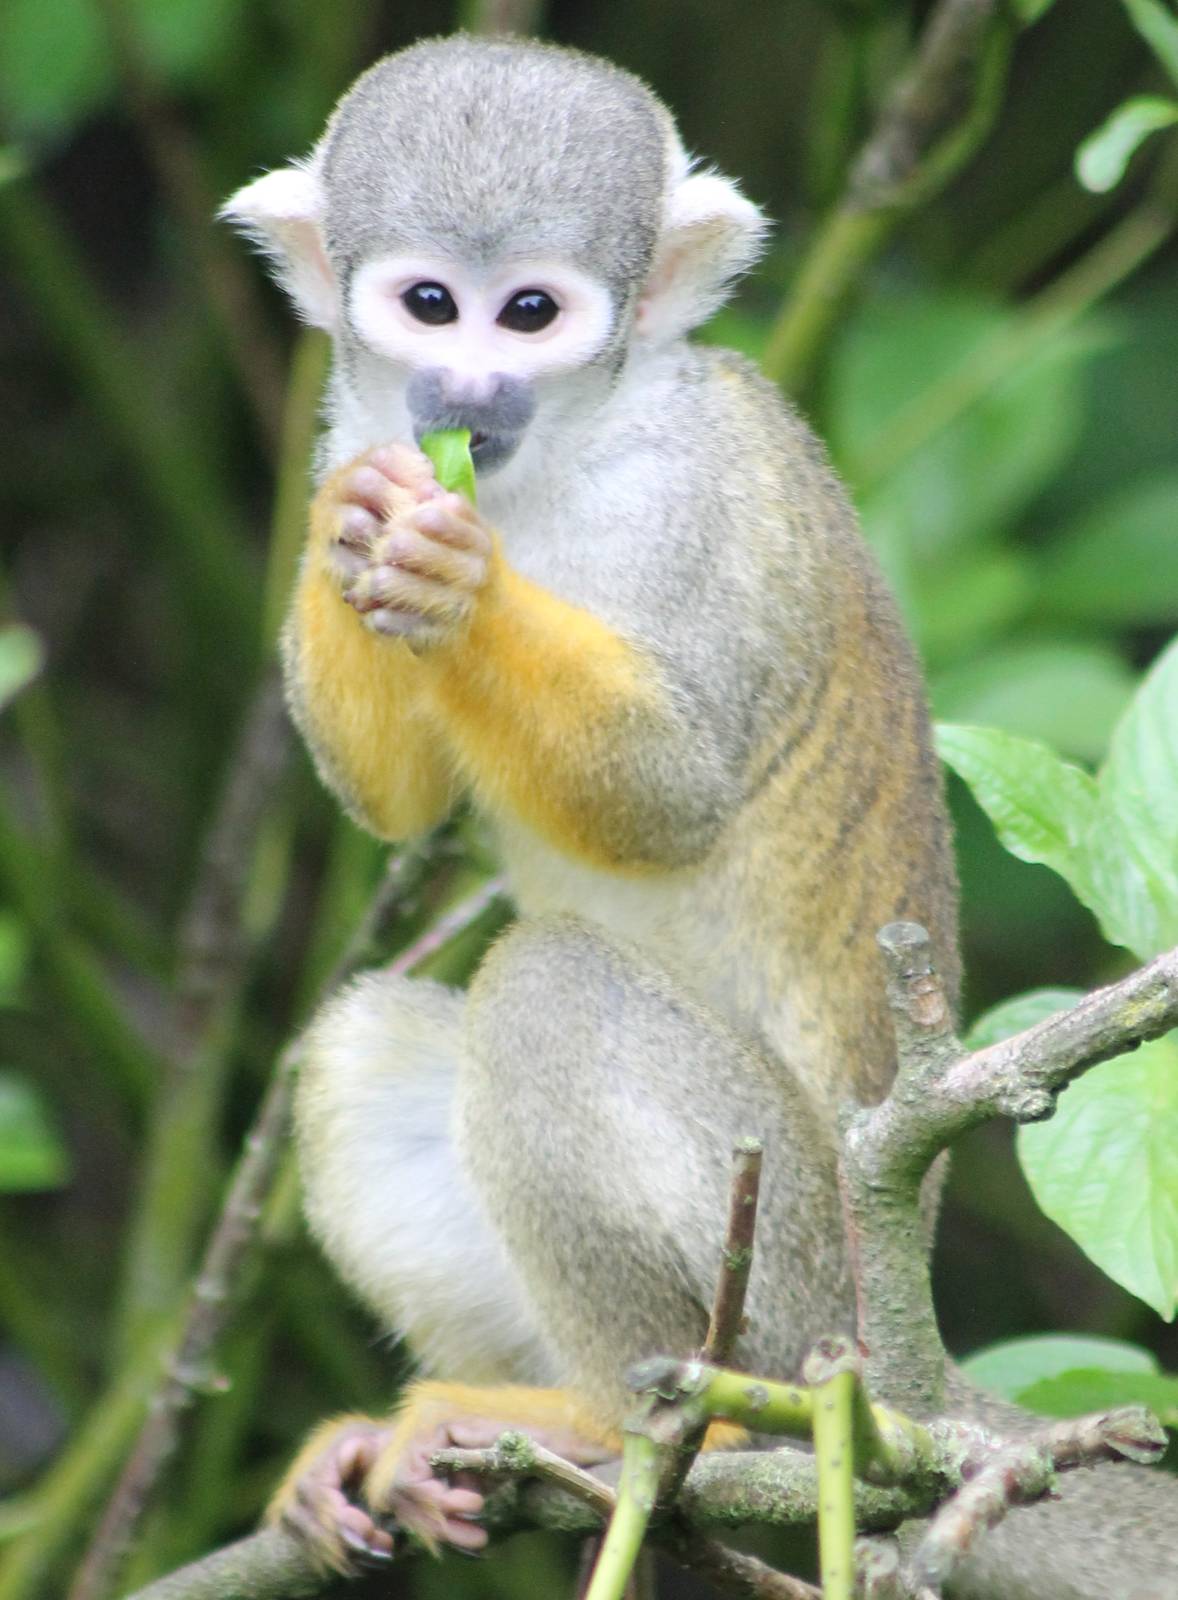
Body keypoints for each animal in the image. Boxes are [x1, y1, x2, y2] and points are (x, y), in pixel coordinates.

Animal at [223, 36, 1178, 1598]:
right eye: (428, 304)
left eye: (531, 312)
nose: (466, 385)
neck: (557, 458)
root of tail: (902, 1368)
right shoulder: (347, 418)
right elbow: (389, 799)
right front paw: (368, 525)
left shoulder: (702, 490)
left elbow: (670, 800)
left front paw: (459, 586)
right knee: (365, 1044)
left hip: (787, 1267)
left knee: (551, 991)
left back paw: (661, 1426)